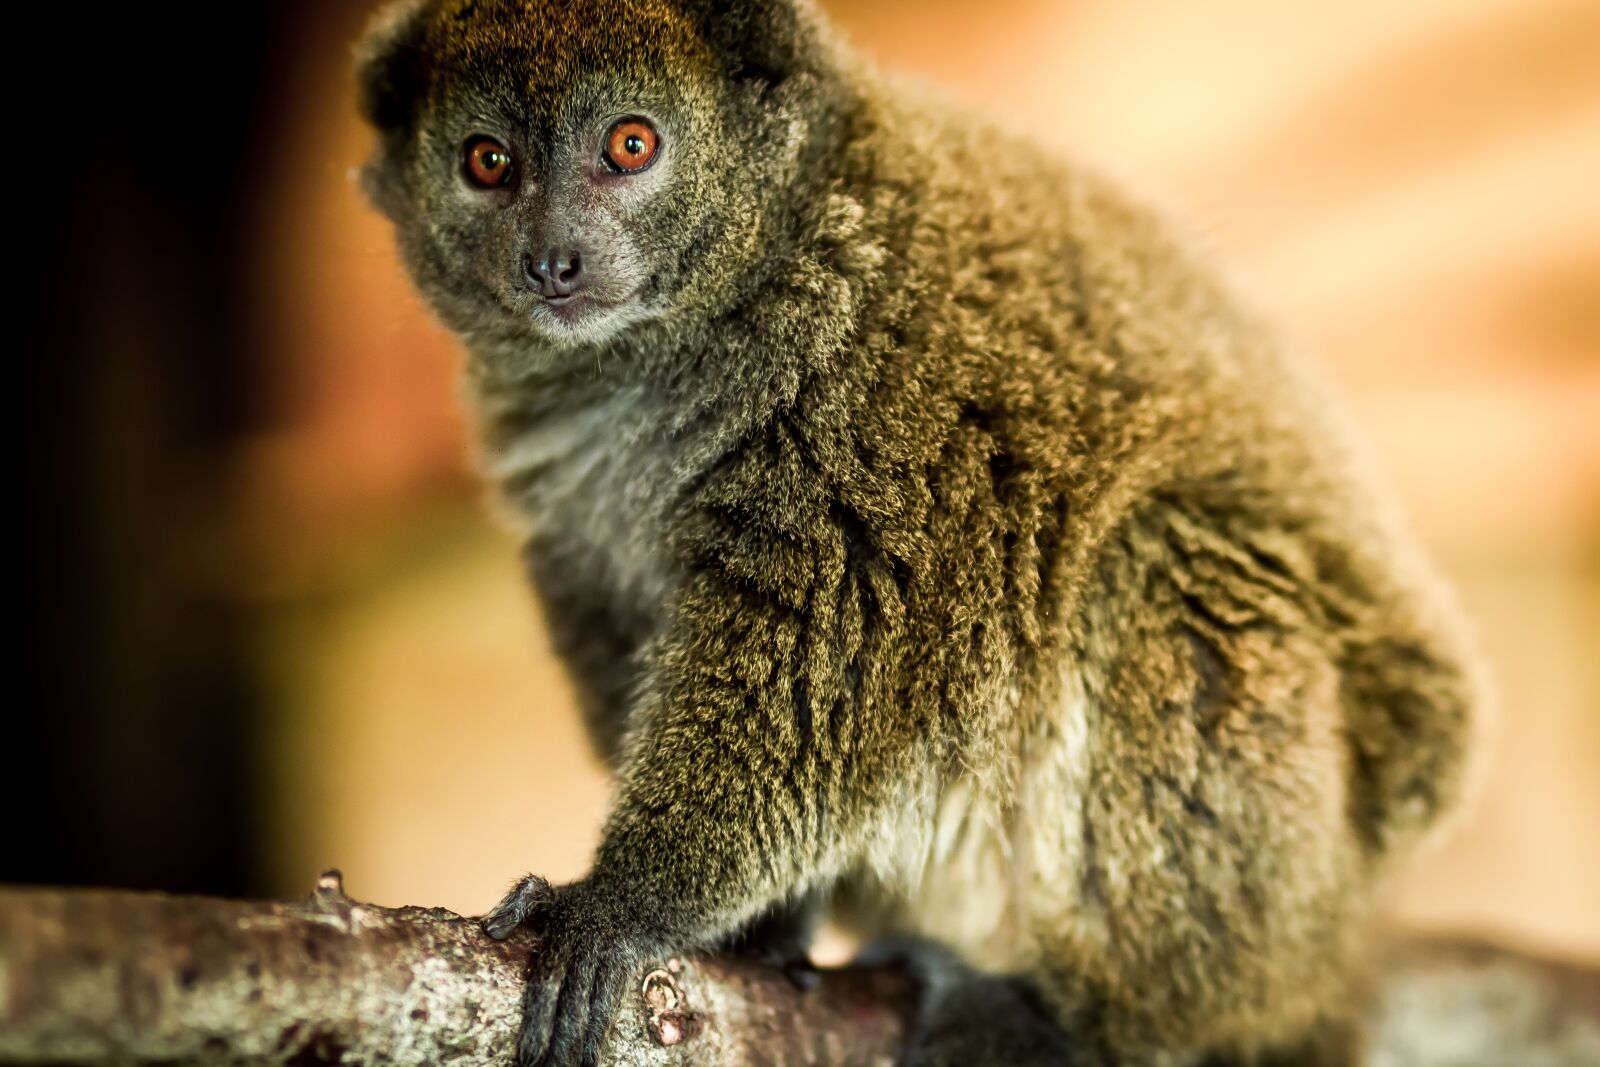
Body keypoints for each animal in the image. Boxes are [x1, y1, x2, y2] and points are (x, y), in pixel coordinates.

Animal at [355, 1, 1484, 1065]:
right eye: (487, 163)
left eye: (630, 144)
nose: (552, 258)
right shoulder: (573, 519)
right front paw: (764, 928)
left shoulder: (877, 408)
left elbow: (835, 665)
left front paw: (623, 901)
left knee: (1158, 561)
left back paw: (1094, 1022)